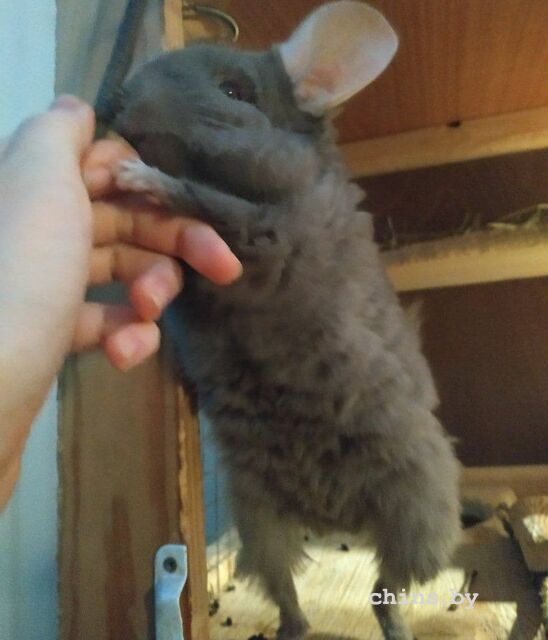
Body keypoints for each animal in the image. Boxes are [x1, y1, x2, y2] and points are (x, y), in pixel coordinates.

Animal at [112, 2, 462, 639]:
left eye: (235, 91)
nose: (121, 101)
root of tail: (331, 515)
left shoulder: (262, 238)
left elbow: (199, 199)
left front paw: (135, 176)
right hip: (260, 520)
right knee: (292, 600)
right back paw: (288, 628)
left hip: (420, 512)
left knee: (387, 593)